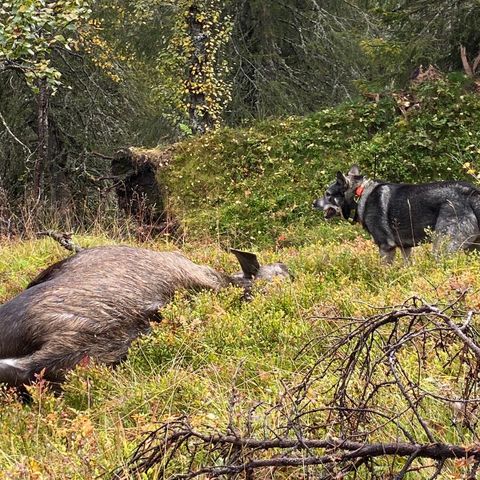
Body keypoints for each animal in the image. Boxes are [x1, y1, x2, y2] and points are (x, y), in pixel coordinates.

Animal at [314, 165, 480, 262]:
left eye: (328, 194)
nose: (313, 203)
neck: (359, 194)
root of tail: (471, 193)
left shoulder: (386, 247)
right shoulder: (405, 248)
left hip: (442, 248)